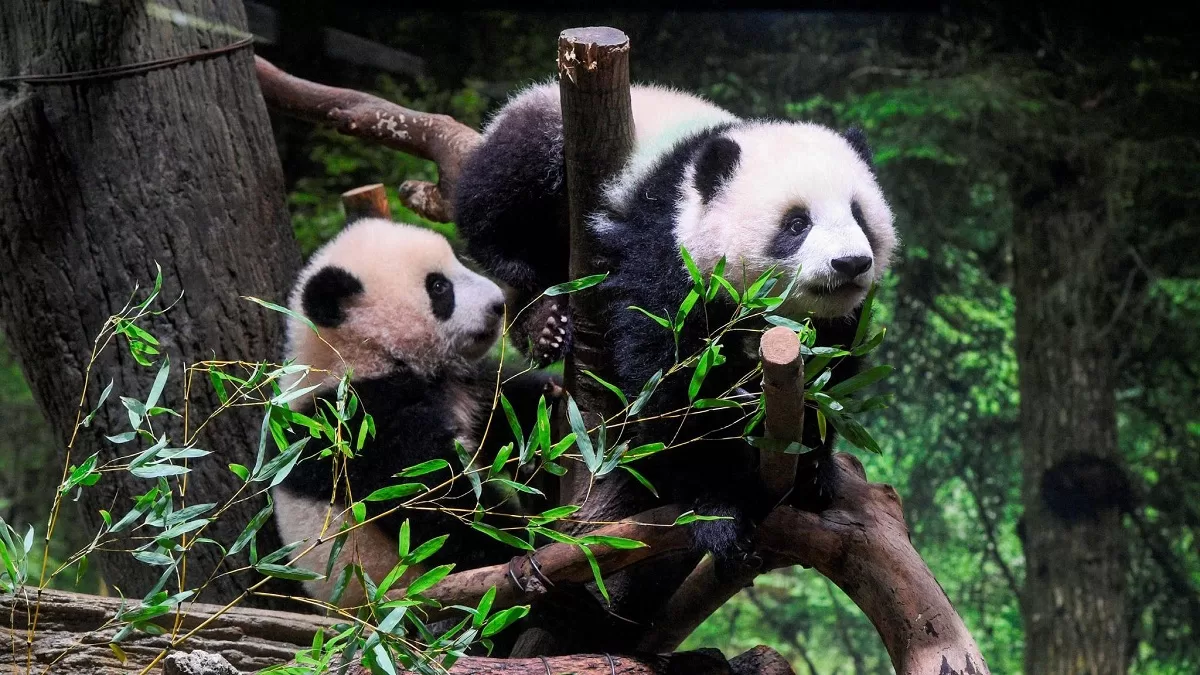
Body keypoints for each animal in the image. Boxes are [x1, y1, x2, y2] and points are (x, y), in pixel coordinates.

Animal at [271, 217, 560, 608]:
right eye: (439, 287)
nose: (498, 305)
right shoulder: (360, 424)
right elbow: (432, 504)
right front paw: (521, 547)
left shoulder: (462, 385)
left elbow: (505, 410)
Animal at [453, 81, 898, 575]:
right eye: (797, 223)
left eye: (860, 215)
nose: (851, 263)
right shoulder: (665, 250)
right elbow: (670, 384)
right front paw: (719, 506)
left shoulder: (837, 322)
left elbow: (831, 375)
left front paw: (813, 470)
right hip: (544, 133)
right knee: (501, 193)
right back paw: (541, 313)